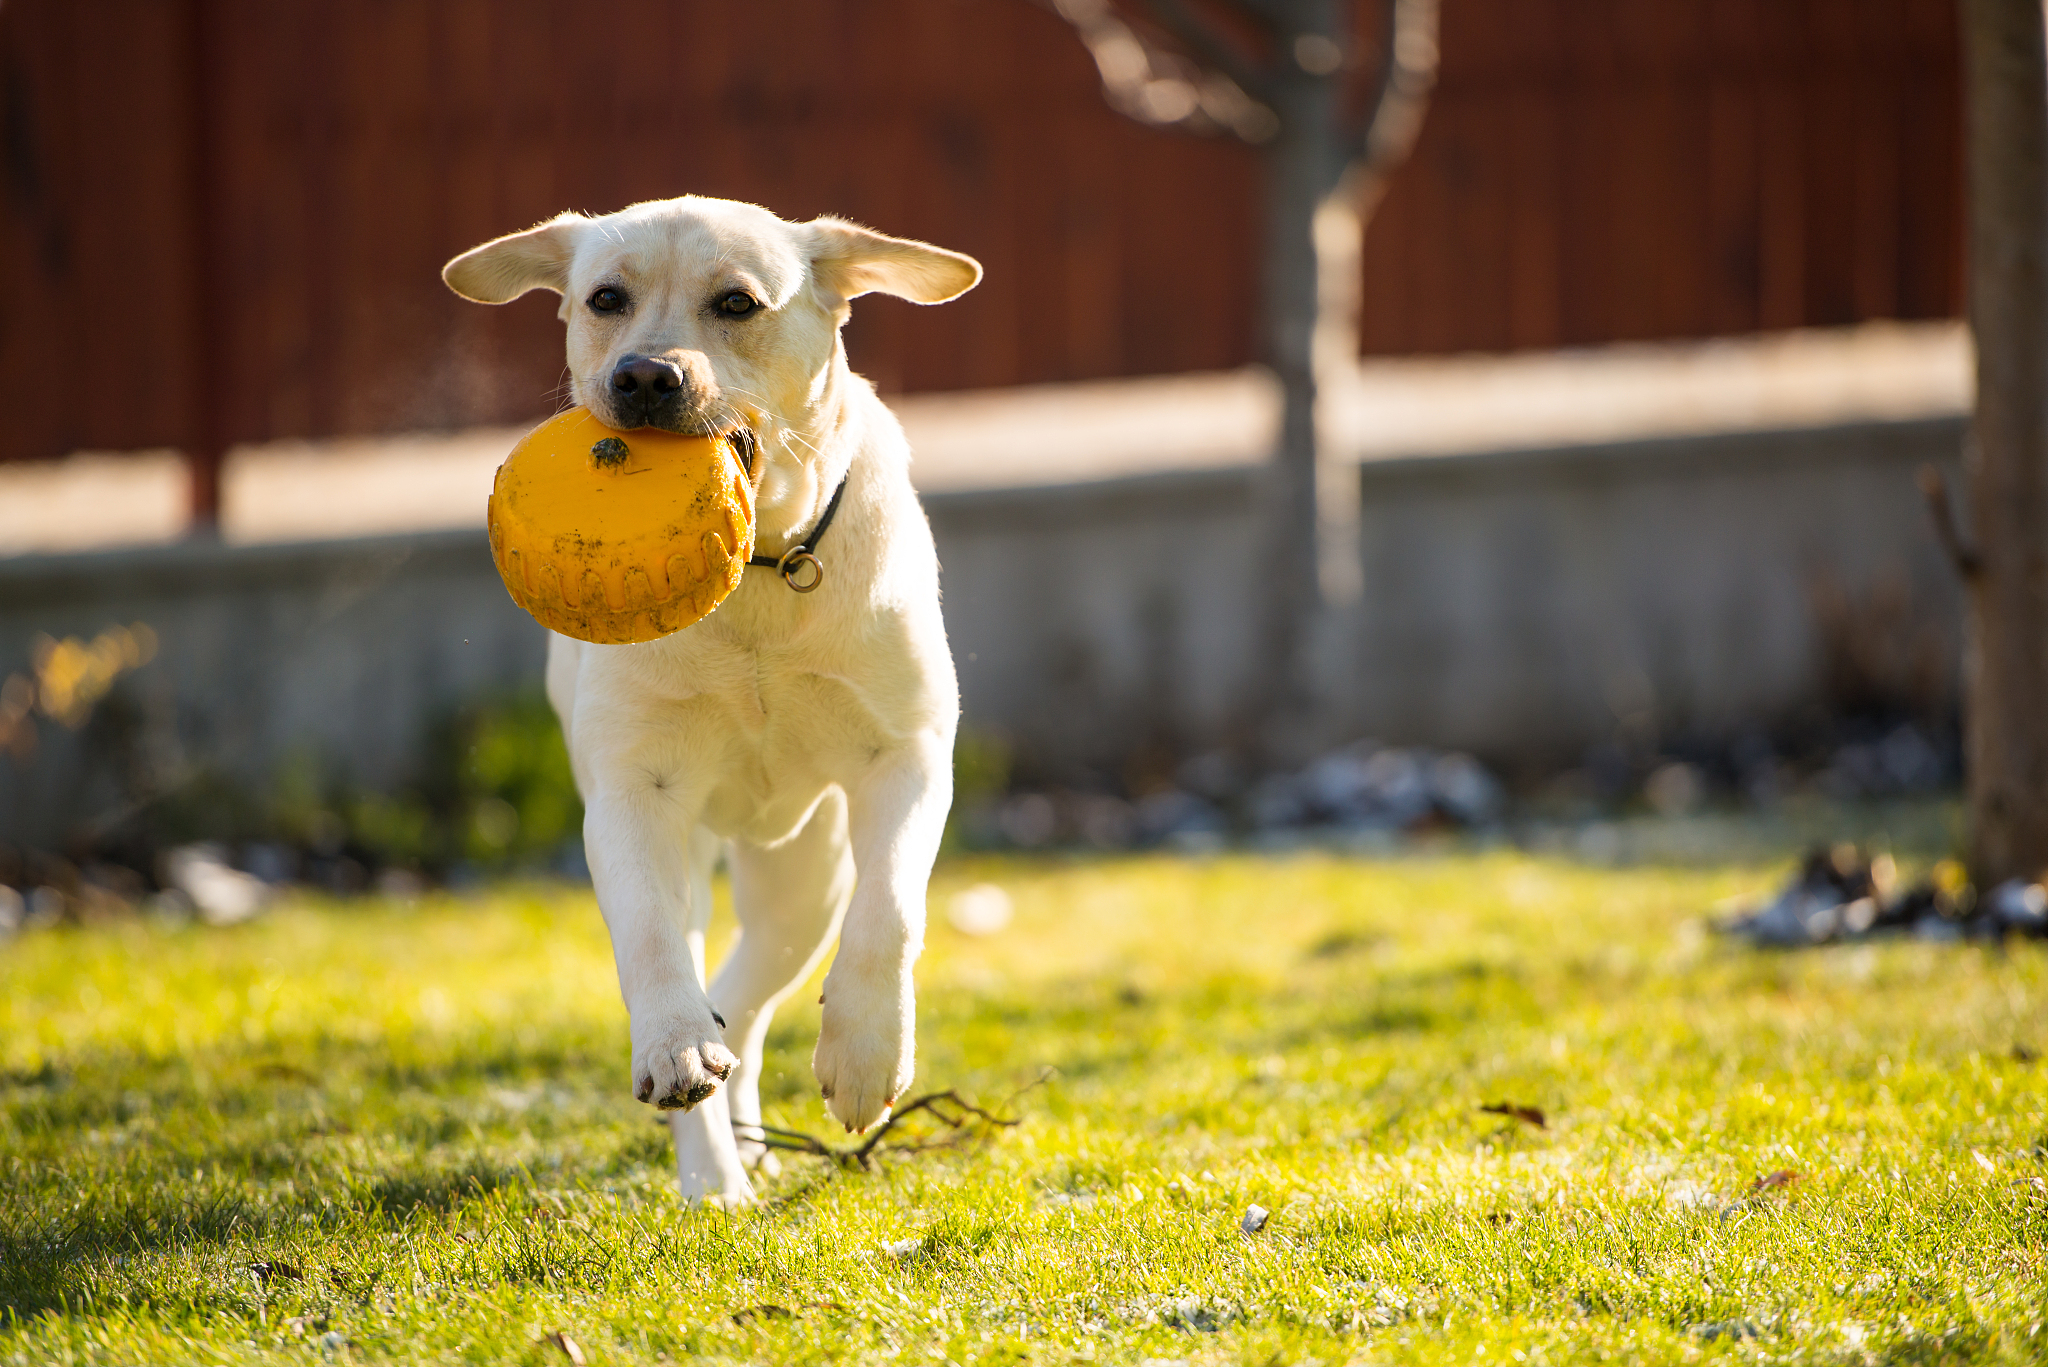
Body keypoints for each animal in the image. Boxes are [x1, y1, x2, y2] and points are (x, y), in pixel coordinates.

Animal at [452, 197, 978, 1205]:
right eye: (604, 299)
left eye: (736, 303)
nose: (643, 376)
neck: (762, 572)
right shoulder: (632, 793)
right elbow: (654, 943)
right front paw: (673, 1047)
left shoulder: (908, 754)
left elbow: (891, 908)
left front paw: (866, 1052)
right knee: (708, 980)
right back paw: (715, 1172)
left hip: (805, 878)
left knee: (753, 990)